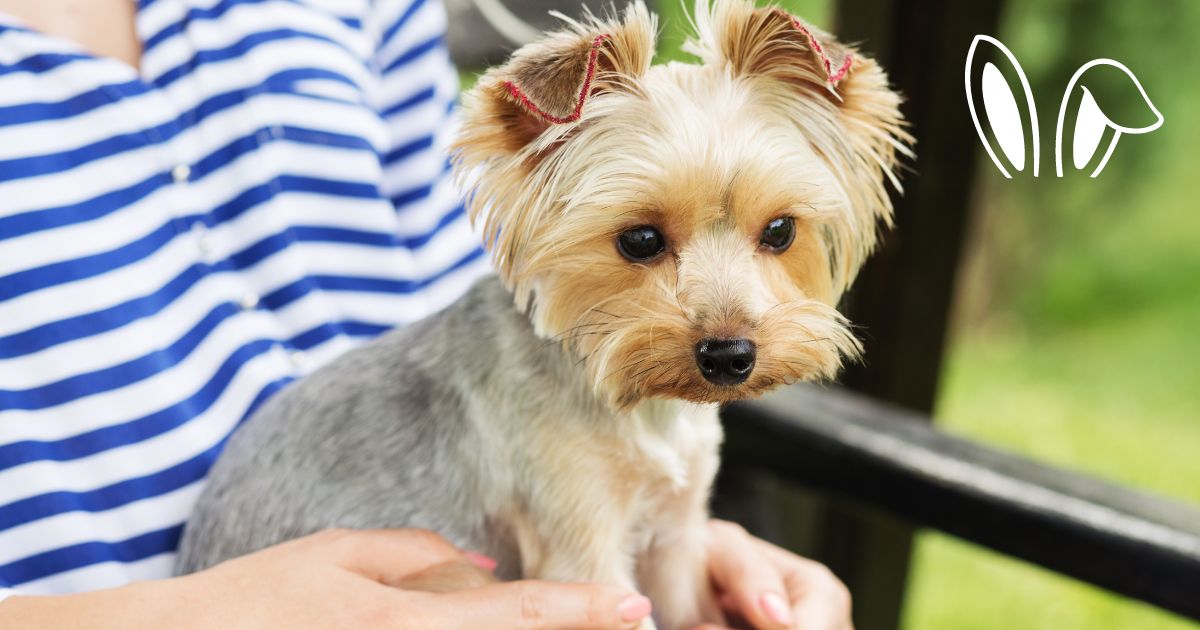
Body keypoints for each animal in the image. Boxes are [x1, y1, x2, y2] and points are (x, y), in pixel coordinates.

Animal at [175, 2, 907, 624]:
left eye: (781, 231)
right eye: (639, 239)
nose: (730, 356)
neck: (637, 404)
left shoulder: (676, 539)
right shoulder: (580, 543)